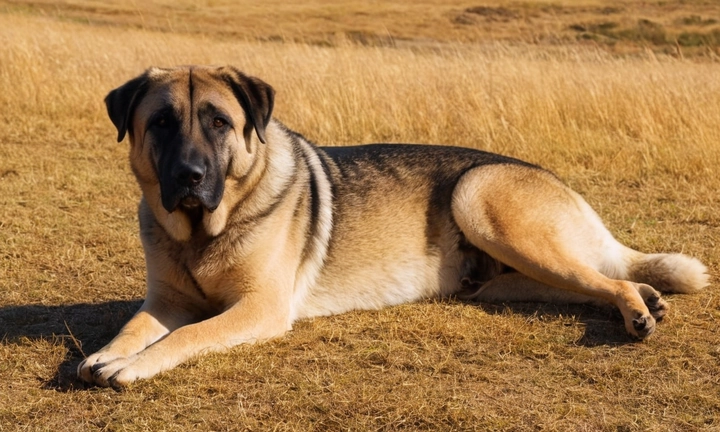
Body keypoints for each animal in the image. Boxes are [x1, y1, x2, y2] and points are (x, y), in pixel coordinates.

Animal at [76, 65, 704, 388]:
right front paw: (109, 353)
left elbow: (186, 336)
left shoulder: (259, 308)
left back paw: (639, 311)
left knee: (607, 277)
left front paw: (131, 367)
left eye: (218, 122)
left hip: (482, 201)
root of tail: (555, 180)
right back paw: (647, 299)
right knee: (598, 282)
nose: (190, 176)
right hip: (509, 280)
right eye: (161, 122)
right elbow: (134, 328)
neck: (204, 231)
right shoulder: (166, 301)